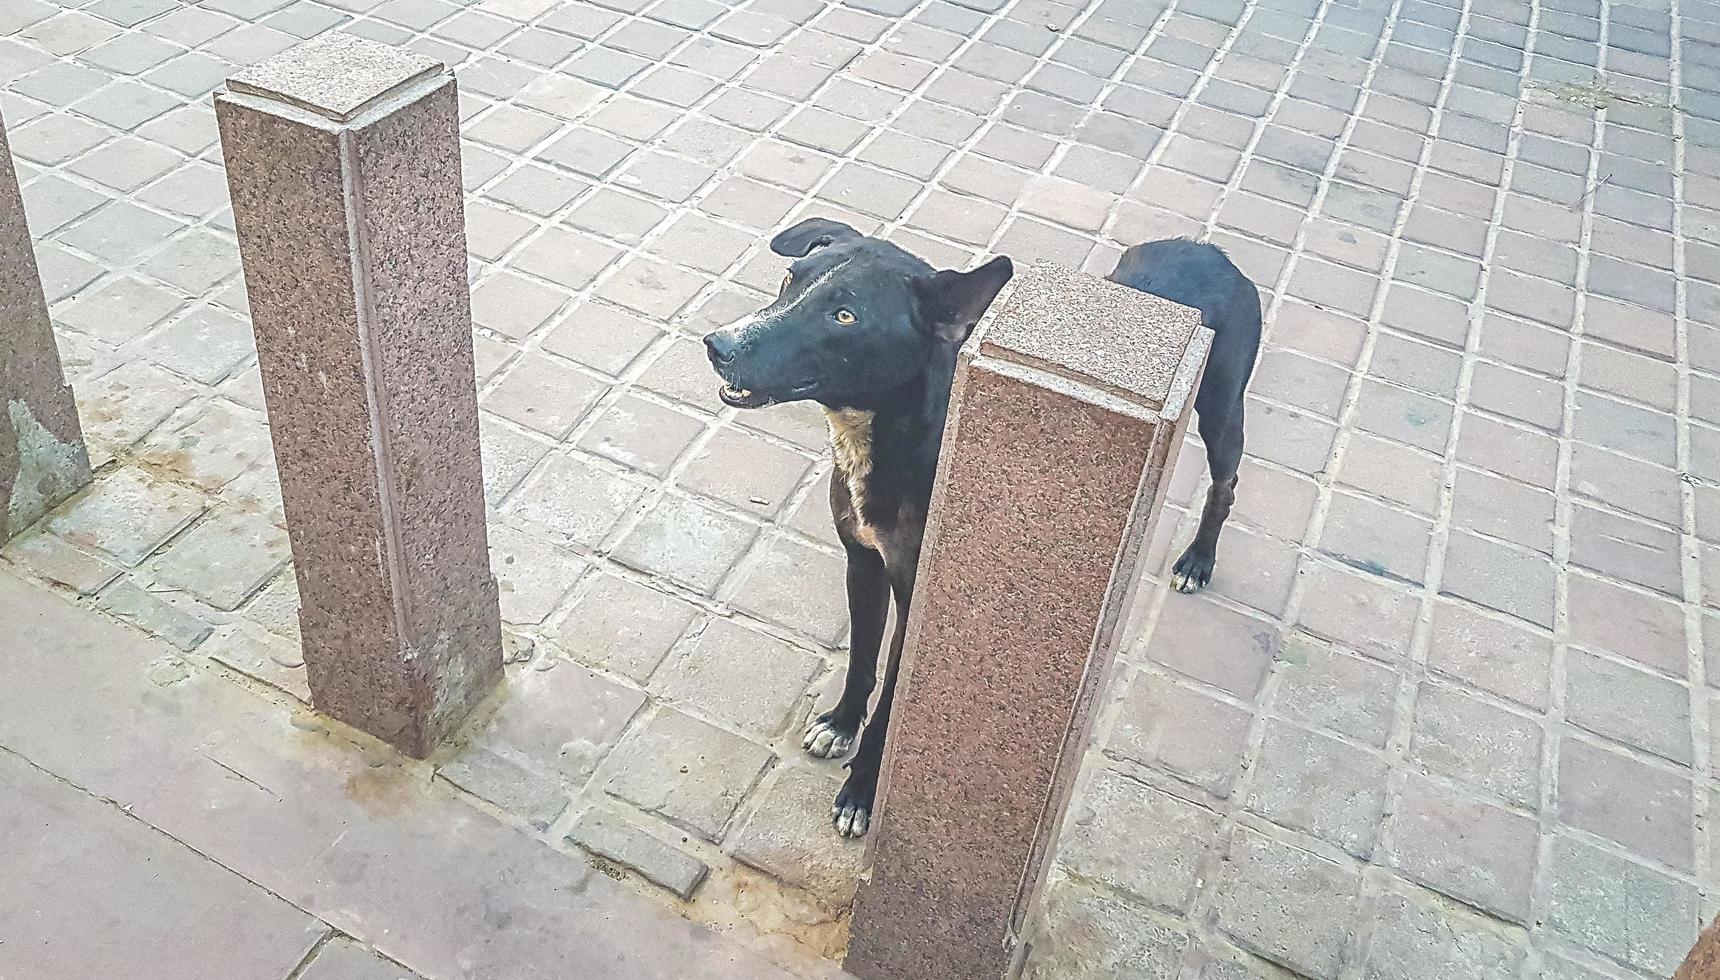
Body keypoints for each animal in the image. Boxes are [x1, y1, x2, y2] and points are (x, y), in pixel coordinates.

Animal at [705, 217, 1259, 835]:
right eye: (790, 279)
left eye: (845, 316)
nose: (719, 344)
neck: (897, 439)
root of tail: (1207, 248)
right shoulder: (864, 563)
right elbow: (862, 661)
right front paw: (843, 722)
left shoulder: (922, 600)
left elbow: (893, 698)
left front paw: (863, 788)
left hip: (1222, 411)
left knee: (1226, 484)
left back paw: (1199, 560)